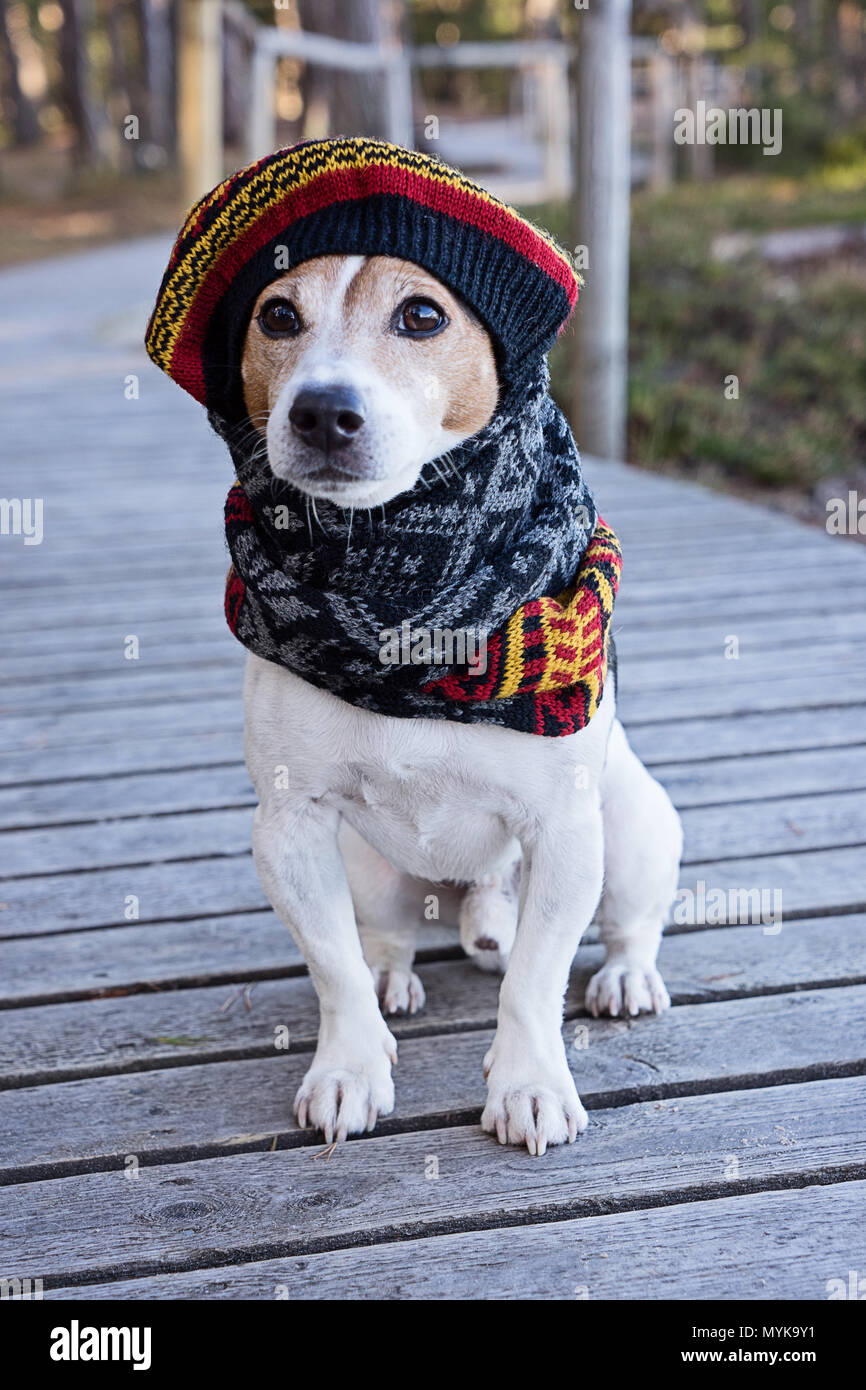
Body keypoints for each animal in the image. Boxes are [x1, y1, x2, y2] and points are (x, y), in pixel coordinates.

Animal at [239, 250, 683, 1150]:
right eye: (277, 316)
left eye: (421, 316)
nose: (321, 410)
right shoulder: (289, 825)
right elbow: (331, 966)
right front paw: (349, 1070)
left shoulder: (563, 831)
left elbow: (534, 983)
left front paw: (530, 1085)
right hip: (364, 866)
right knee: (383, 937)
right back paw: (392, 975)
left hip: (631, 825)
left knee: (629, 923)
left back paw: (624, 976)